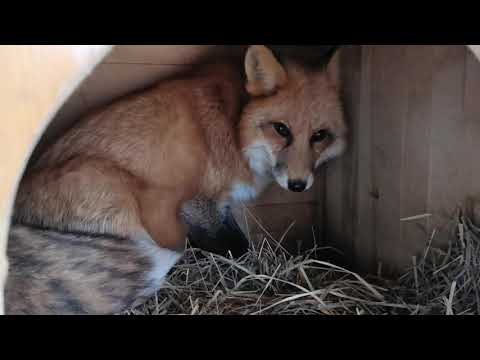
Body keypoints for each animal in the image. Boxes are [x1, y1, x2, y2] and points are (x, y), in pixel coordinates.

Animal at [6, 45, 344, 316]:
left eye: (319, 136)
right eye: (281, 129)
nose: (298, 184)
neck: (233, 125)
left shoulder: (221, 204)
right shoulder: (195, 203)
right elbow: (237, 247)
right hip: (115, 190)